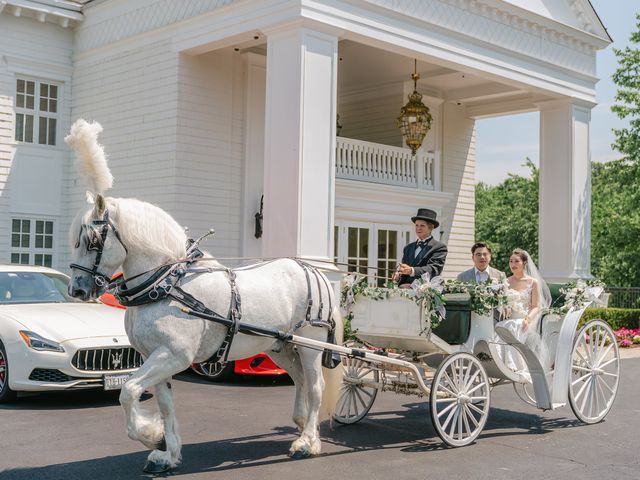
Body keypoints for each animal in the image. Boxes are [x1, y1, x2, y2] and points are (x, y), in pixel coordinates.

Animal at [65, 120, 342, 472]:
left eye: (92, 240)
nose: (77, 289)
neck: (165, 285)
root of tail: (314, 269)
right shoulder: (155, 356)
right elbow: (165, 405)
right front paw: (166, 452)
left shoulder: (174, 354)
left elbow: (127, 391)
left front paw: (150, 436)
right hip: (279, 346)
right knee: (299, 380)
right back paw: (301, 423)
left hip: (311, 343)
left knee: (317, 385)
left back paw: (308, 442)